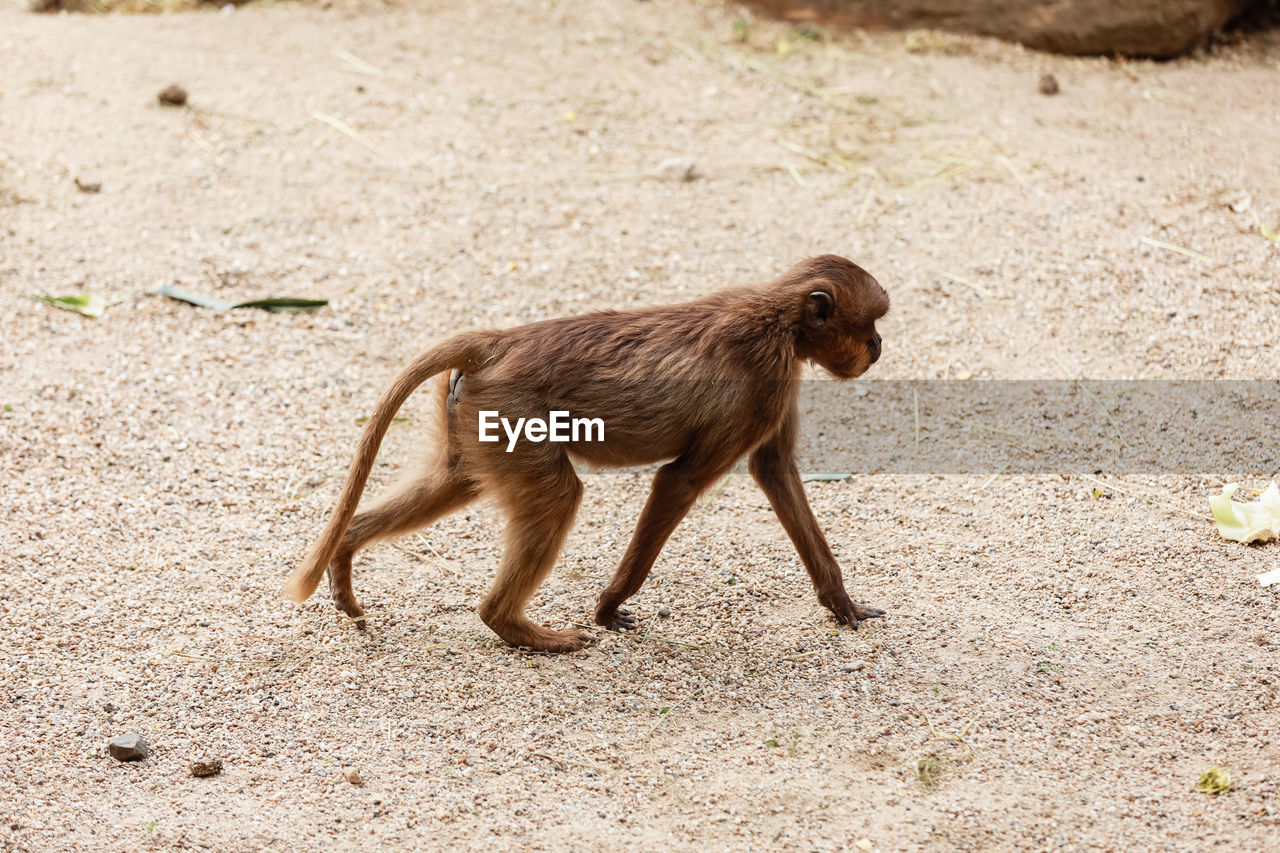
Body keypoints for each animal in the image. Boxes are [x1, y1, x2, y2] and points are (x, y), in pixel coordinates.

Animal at [285, 252, 890, 650]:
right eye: (871, 324)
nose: (879, 347)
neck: (778, 318)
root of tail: (499, 342)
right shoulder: (765, 382)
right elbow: (679, 481)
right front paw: (609, 608)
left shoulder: (780, 387)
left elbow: (776, 472)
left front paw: (842, 604)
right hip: (511, 414)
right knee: (558, 496)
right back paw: (515, 626)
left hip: (474, 418)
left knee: (452, 481)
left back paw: (347, 553)